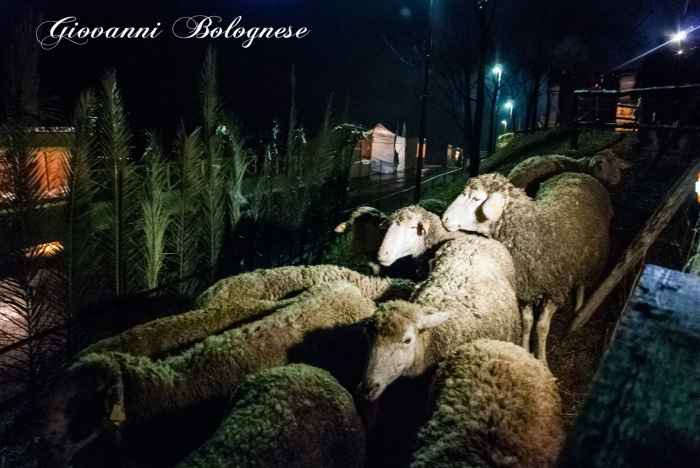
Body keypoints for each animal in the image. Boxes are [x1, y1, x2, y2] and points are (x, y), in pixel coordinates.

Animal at [442, 172, 612, 366]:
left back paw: (579, 308)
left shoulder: (554, 289)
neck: (534, 231)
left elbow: (542, 327)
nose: (444, 218)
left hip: (588, 258)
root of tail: (579, 173)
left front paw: (542, 360)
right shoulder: (526, 290)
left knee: (582, 283)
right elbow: (527, 322)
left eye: (476, 198)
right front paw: (525, 350)